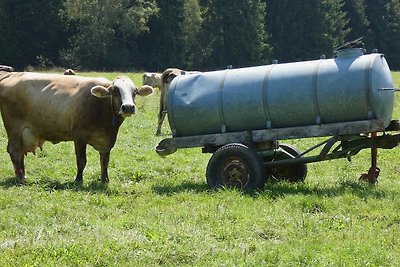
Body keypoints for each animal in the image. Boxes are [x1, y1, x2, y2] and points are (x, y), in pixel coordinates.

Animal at [0, 72, 153, 183]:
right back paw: (20, 177)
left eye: (134, 92)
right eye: (115, 91)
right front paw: (78, 180)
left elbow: (105, 161)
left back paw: (23, 175)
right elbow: (81, 160)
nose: (128, 107)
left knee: (19, 152)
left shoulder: (107, 140)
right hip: (14, 129)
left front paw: (105, 179)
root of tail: (12, 75)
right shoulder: (79, 137)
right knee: (14, 150)